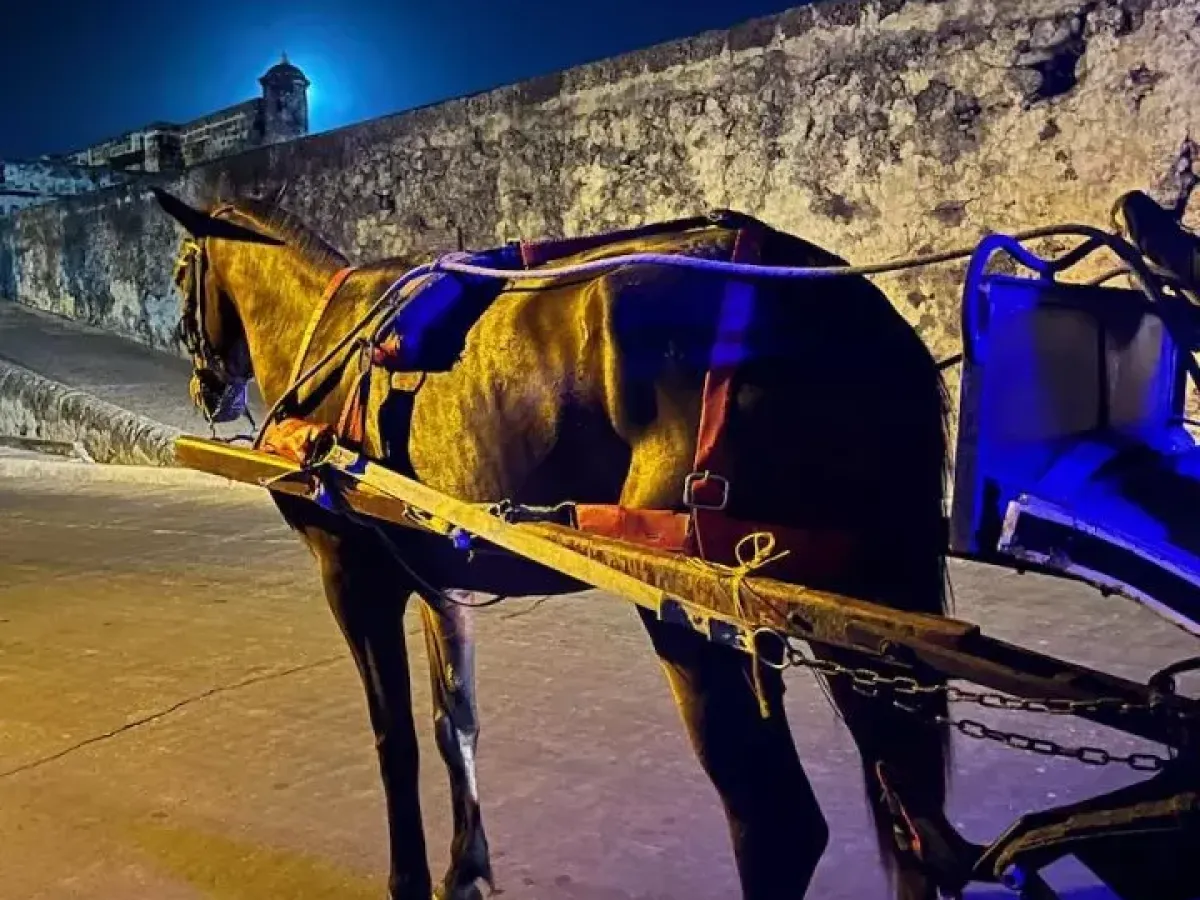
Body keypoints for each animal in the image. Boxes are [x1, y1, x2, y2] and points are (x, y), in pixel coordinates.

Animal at [151, 186, 962, 900]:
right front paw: (466, 868)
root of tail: (846, 310)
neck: (324, 329)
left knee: (777, 825)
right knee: (915, 818)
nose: (206, 389)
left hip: (693, 609)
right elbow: (454, 723)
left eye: (180, 273)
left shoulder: (351, 573)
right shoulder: (436, 573)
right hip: (861, 601)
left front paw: (408, 880)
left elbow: (394, 739)